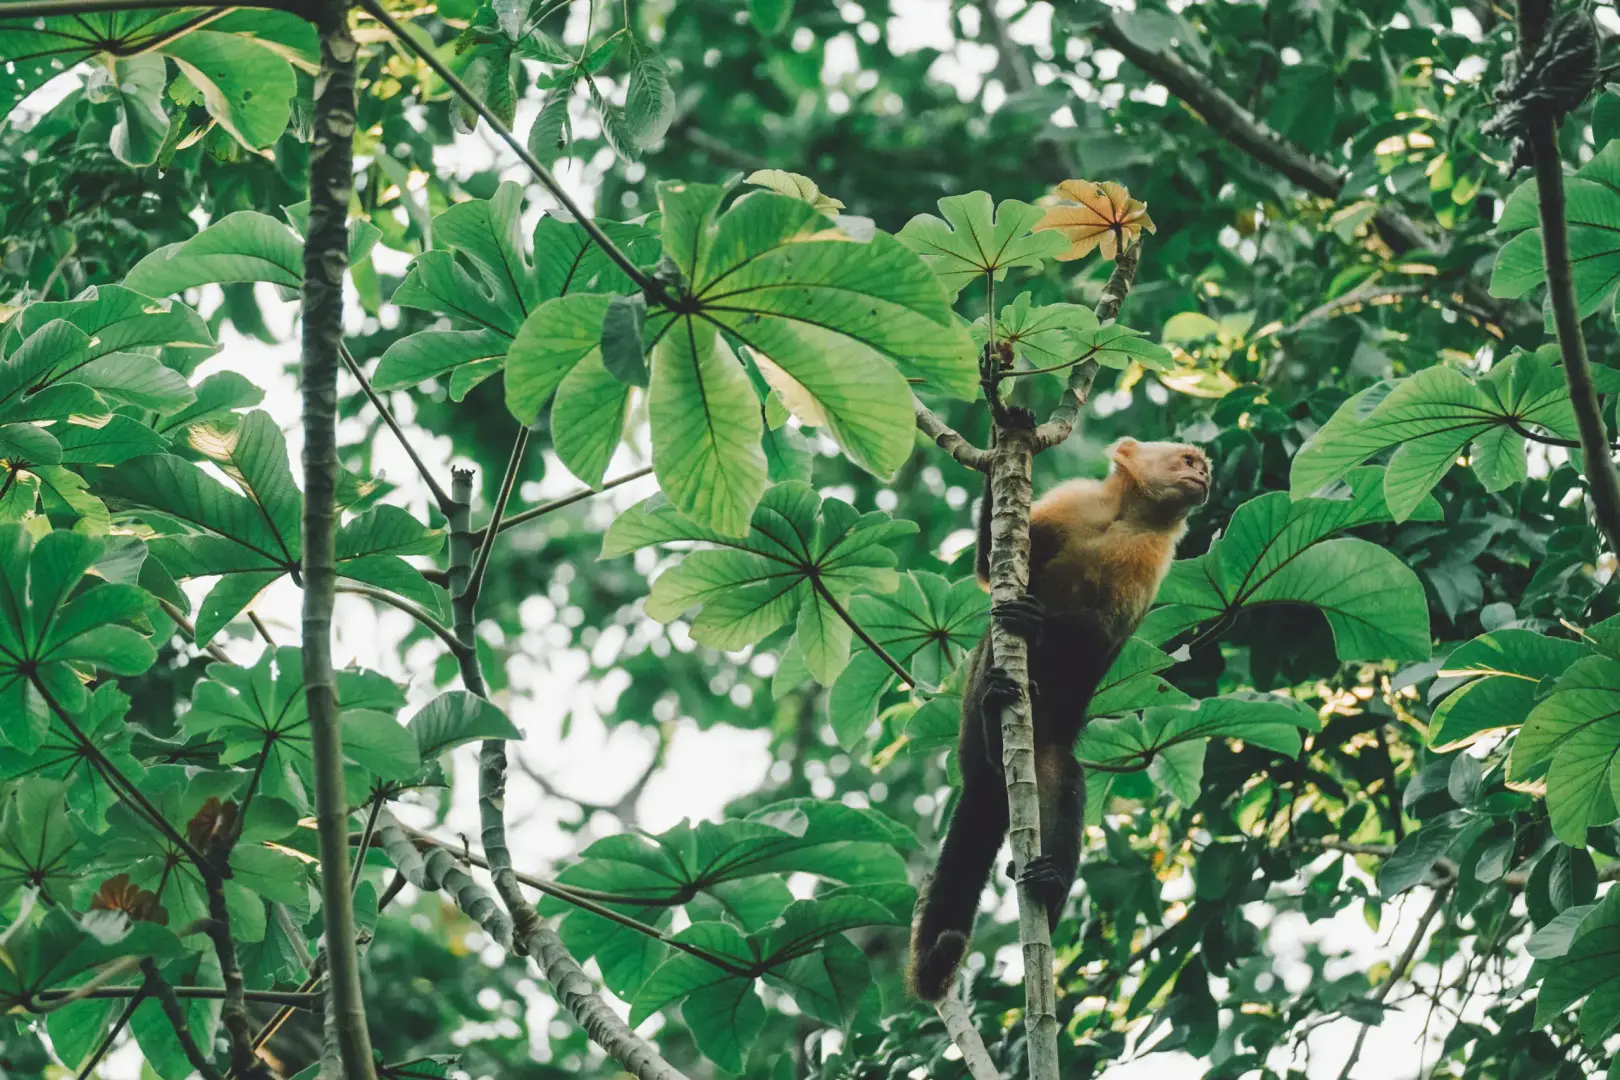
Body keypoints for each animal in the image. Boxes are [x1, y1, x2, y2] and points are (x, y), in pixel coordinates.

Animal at [906, 434, 1211, 1002]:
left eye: (1203, 466)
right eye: (1187, 460)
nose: (1203, 476)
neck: (1124, 515)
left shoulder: (1152, 556)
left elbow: (1098, 636)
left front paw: (1042, 624)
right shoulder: (1074, 502)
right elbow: (989, 566)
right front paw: (1002, 440)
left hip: (1046, 755)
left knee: (1065, 783)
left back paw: (1050, 890)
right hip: (969, 732)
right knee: (992, 651)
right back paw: (993, 709)